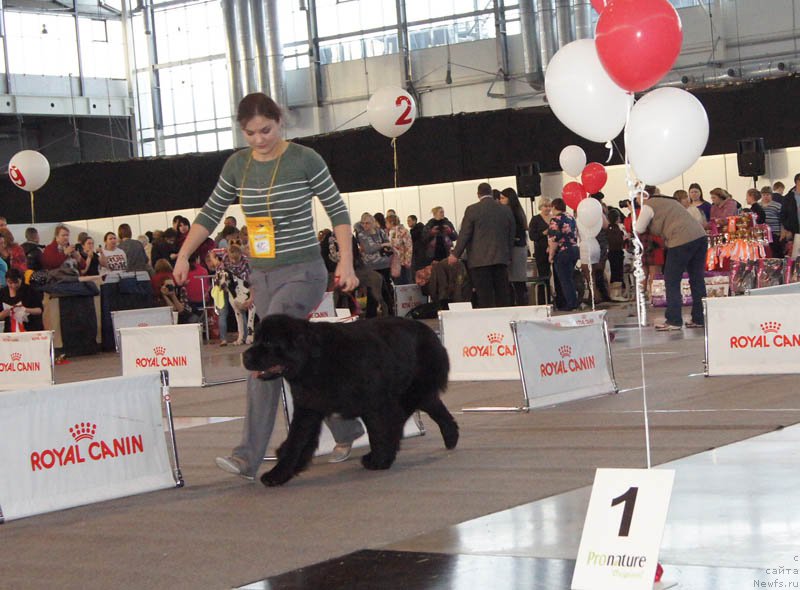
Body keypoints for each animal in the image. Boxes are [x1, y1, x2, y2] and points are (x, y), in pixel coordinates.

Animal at [241, 316, 460, 488]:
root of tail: (430, 333)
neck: (313, 360)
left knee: (405, 415)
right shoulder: (308, 407)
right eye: (256, 339)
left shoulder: (374, 402)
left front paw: (378, 460)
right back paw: (451, 437)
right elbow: (297, 440)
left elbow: (378, 432)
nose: (245, 355)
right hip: (415, 392)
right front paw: (278, 473)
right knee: (434, 406)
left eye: (269, 342)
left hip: (411, 390)